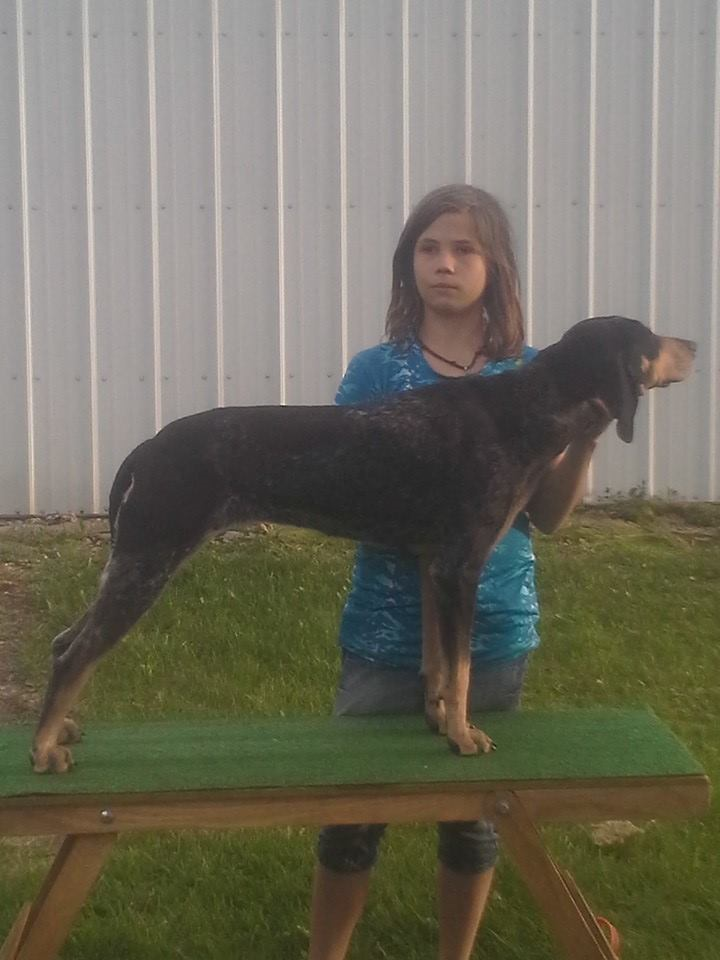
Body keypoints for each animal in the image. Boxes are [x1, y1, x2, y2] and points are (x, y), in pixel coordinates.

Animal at [31, 316, 695, 772]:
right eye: (648, 336)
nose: (693, 344)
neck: (524, 408)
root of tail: (146, 449)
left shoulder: (433, 568)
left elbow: (438, 665)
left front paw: (438, 721)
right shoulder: (460, 568)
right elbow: (460, 668)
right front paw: (464, 736)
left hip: (133, 563)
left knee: (65, 641)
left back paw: (59, 730)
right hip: (148, 563)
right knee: (73, 654)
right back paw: (42, 748)